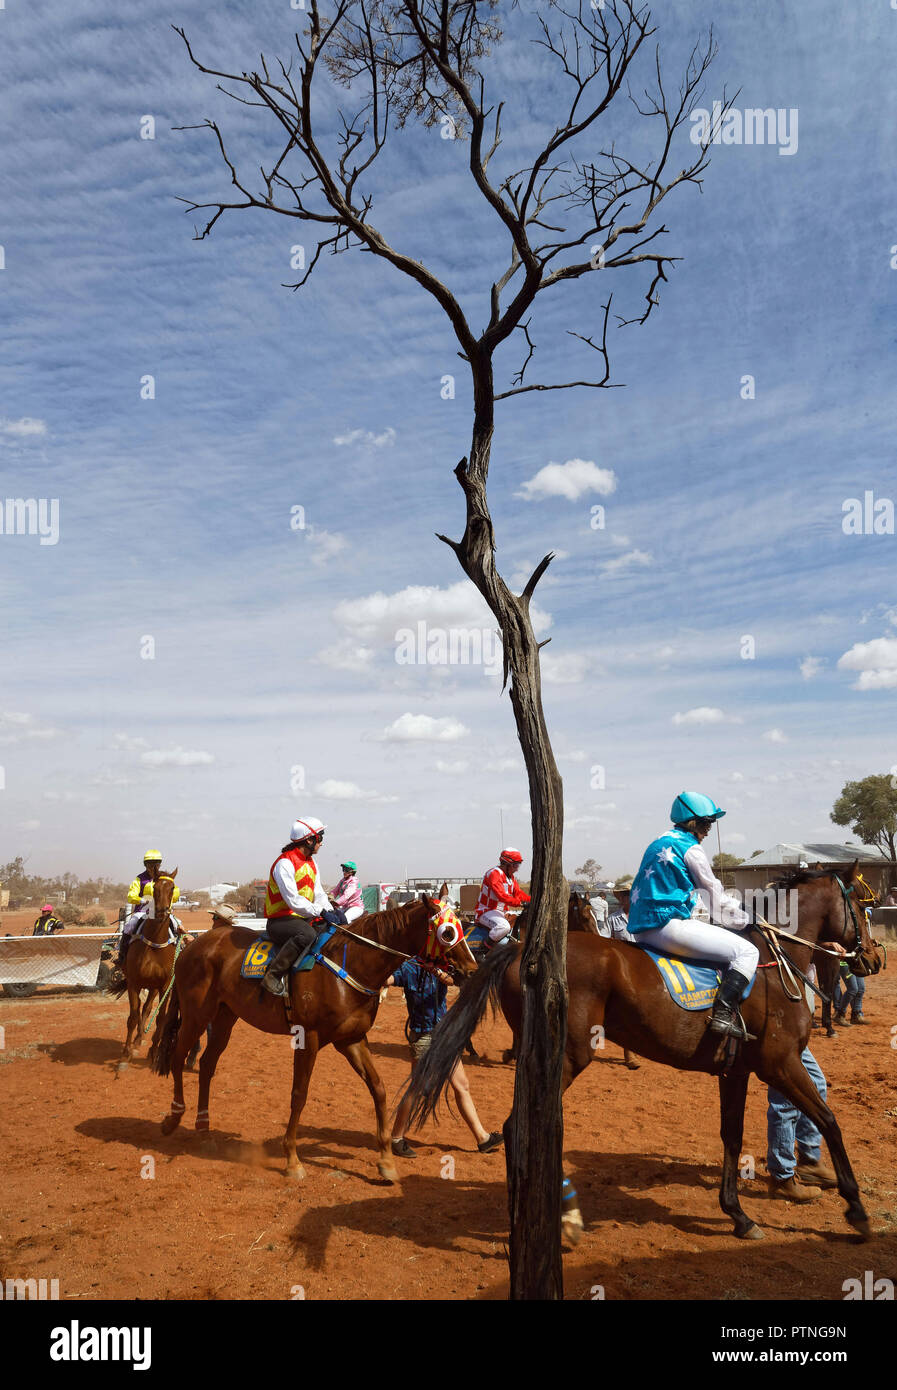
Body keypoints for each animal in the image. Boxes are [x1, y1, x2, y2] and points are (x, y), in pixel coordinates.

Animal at [150, 895, 478, 1178]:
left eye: (463, 927)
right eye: (448, 932)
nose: (472, 970)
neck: (350, 964)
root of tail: (193, 945)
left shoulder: (352, 1040)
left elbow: (379, 1089)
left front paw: (385, 1160)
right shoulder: (308, 1037)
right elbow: (299, 1095)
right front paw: (292, 1159)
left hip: (224, 1018)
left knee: (206, 1065)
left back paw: (204, 1128)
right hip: (196, 1016)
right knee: (178, 1057)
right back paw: (173, 1118)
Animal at [403, 861, 878, 1245]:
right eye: (863, 904)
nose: (872, 959)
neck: (774, 969)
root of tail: (523, 950)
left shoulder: (736, 1071)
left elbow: (732, 1136)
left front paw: (738, 1215)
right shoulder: (780, 1065)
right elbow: (830, 1121)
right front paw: (856, 1209)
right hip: (568, 1056)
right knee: (521, 1125)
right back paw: (554, 1214)